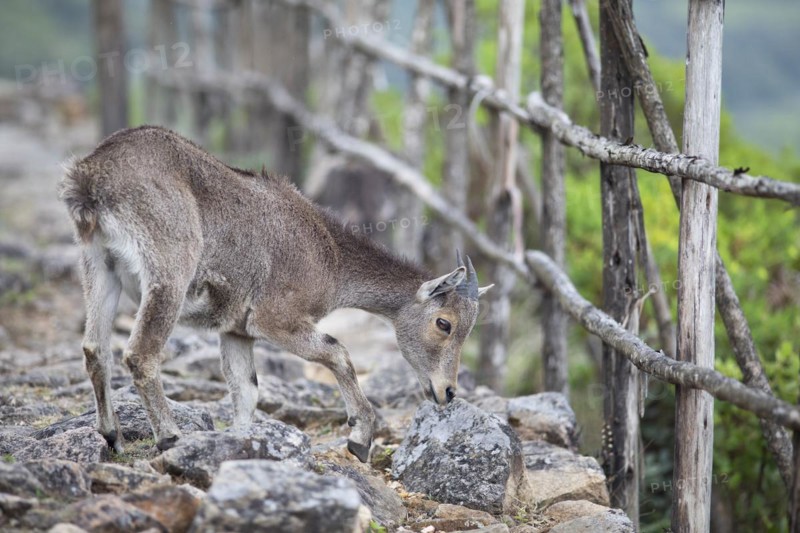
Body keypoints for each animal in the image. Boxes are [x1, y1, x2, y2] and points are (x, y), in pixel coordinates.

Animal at [59, 126, 491, 462]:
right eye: (444, 323)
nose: (447, 392)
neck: (330, 257)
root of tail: (89, 178)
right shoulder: (275, 318)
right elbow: (337, 352)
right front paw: (360, 438)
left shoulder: (236, 330)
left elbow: (246, 390)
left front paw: (240, 443)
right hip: (169, 268)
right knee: (140, 353)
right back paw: (169, 436)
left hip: (98, 264)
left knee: (95, 349)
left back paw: (111, 436)